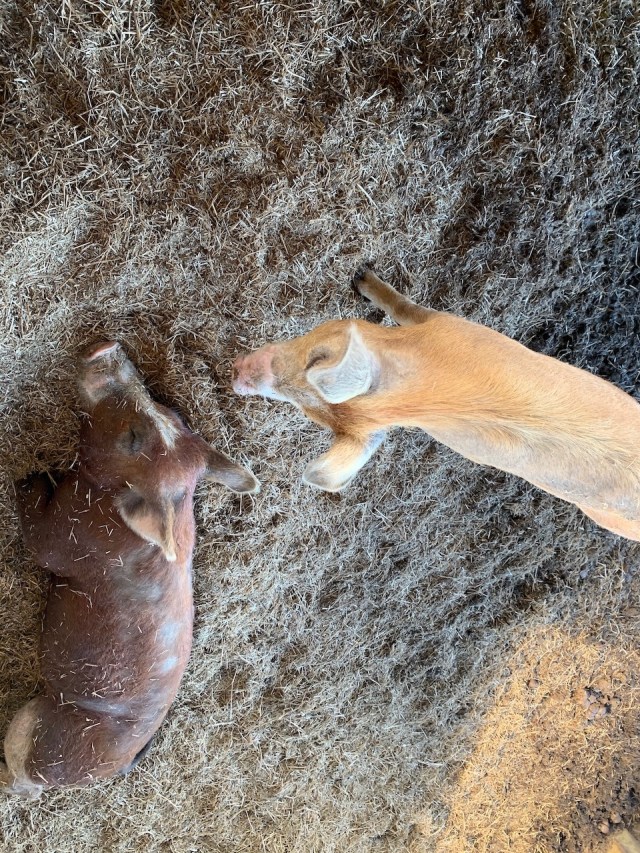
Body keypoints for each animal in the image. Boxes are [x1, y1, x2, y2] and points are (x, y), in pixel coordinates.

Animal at [1, 341, 259, 798]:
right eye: (172, 413)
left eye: (133, 438)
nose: (108, 348)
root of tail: (117, 766)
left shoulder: (65, 540)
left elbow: (38, 538)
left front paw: (28, 475)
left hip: (36, 737)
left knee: (18, 778)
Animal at [232, 268, 640, 541]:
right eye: (307, 412)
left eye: (316, 357)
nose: (237, 376)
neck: (423, 397)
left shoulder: (448, 324)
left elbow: (404, 306)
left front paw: (360, 277)